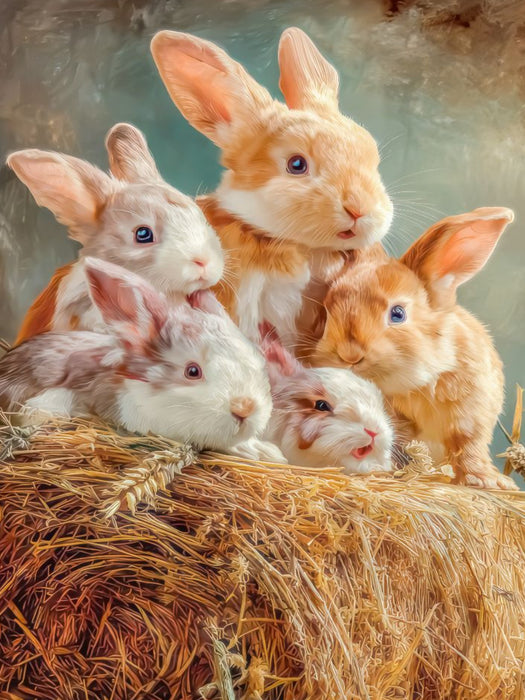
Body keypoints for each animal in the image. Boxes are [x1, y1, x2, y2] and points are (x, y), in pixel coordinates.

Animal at [313, 206, 518, 490]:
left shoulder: (472, 415)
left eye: (398, 313)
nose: (349, 354)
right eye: (327, 310)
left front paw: (485, 480)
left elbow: (469, 447)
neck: (416, 383)